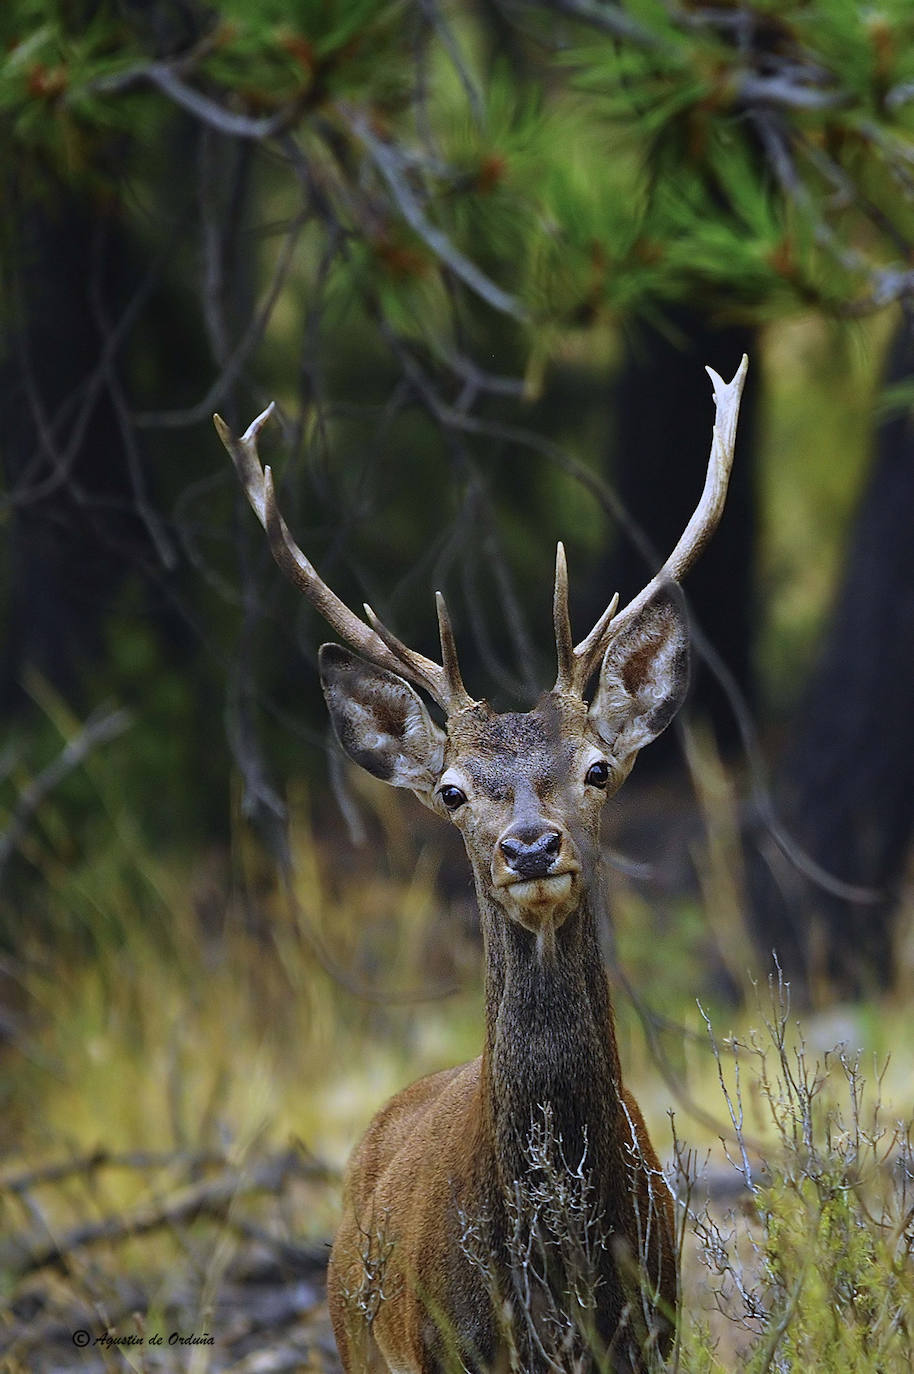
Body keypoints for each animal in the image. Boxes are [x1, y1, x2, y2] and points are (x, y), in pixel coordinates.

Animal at [217, 357, 747, 1374]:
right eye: (455, 791)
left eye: (598, 768)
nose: (531, 846)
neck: (553, 1287)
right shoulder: (443, 1349)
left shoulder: (652, 1333)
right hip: (353, 1340)